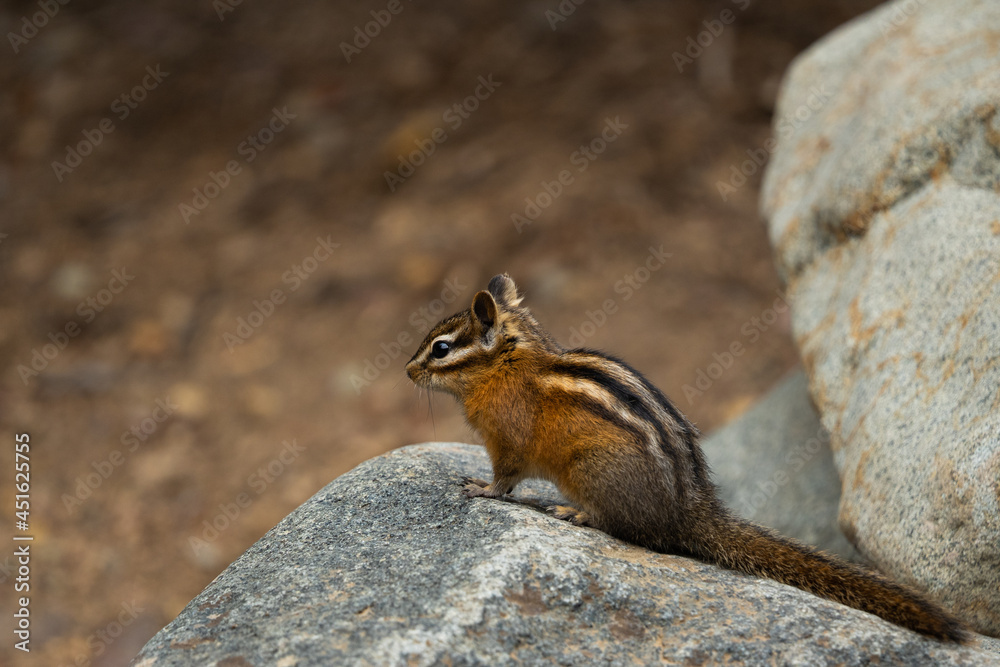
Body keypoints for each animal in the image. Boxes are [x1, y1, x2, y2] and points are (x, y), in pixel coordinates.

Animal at [405, 274, 967, 642]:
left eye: (440, 348)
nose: (407, 371)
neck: (509, 365)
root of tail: (689, 511)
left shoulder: (507, 441)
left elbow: (504, 477)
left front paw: (480, 488)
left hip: (591, 472)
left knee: (627, 528)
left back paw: (576, 512)